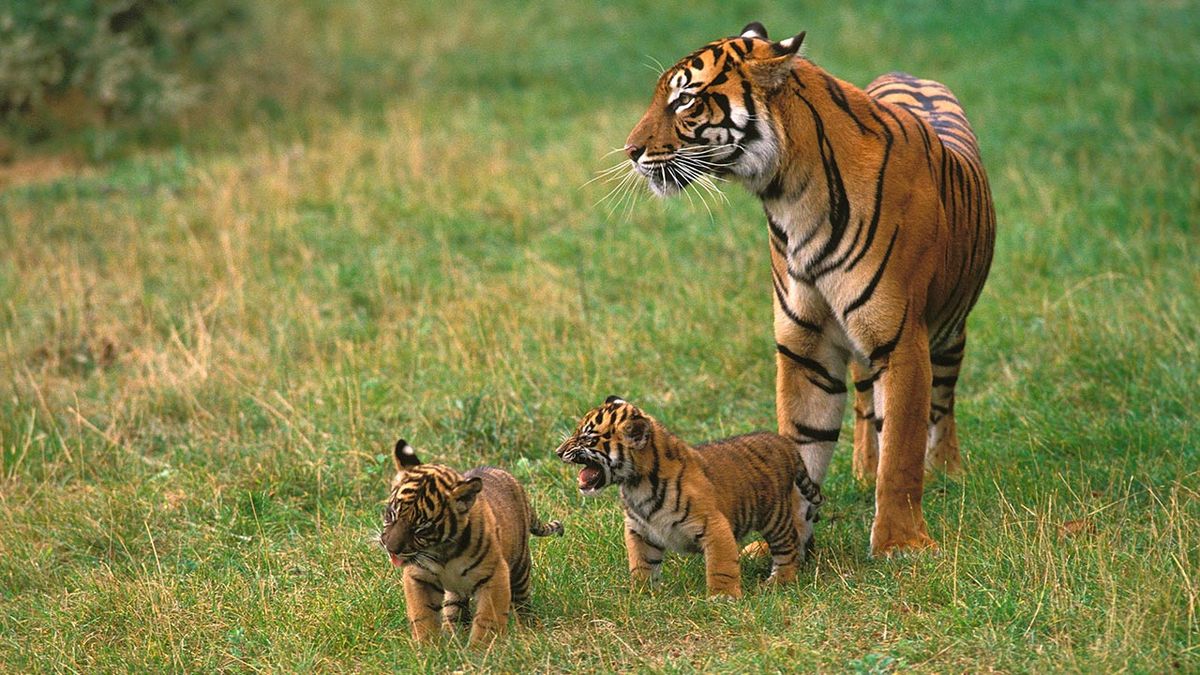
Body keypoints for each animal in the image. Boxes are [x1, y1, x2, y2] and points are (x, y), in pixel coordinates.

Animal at [380, 439, 563, 647]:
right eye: (391, 514)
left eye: (421, 529)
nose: (390, 548)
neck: (442, 551)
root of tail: (513, 480)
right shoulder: (419, 576)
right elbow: (422, 614)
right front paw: (428, 648)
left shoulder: (494, 575)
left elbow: (487, 619)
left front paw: (482, 650)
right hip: (456, 592)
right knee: (454, 610)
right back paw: (453, 636)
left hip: (520, 568)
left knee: (522, 602)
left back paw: (528, 630)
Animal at [555, 396, 823, 599]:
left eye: (587, 438)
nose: (557, 452)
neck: (637, 483)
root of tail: (782, 442)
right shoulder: (640, 530)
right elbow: (641, 563)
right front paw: (641, 594)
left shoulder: (714, 525)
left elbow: (721, 566)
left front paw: (723, 598)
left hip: (774, 516)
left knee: (789, 545)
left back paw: (779, 582)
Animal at [621, 22, 996, 557]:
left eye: (685, 100)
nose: (630, 151)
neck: (789, 195)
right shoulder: (806, 346)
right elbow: (801, 442)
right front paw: (782, 542)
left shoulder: (901, 339)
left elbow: (902, 450)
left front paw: (899, 544)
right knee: (866, 402)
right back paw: (863, 471)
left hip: (948, 333)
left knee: (941, 405)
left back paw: (948, 470)